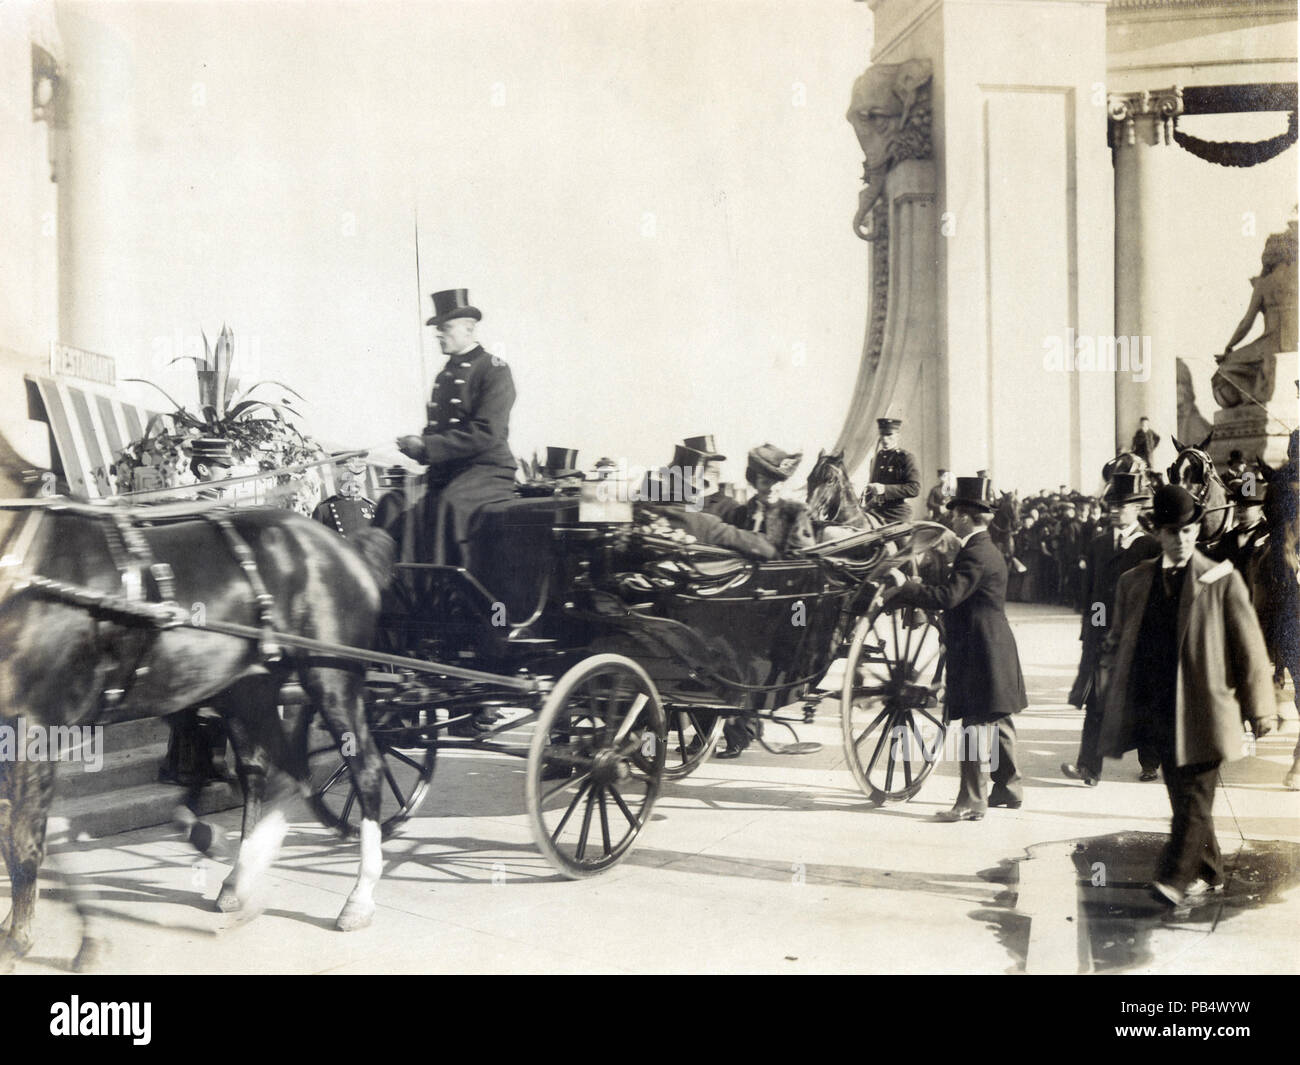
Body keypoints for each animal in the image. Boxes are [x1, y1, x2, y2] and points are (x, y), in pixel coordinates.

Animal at [1, 499, 395, 972]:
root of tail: (343, 544)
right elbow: (23, 828)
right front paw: (74, 936)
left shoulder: (35, 723)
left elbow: (22, 837)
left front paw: (19, 939)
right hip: (249, 689)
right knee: (277, 772)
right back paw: (238, 876)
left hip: (330, 678)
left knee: (365, 769)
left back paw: (358, 896)